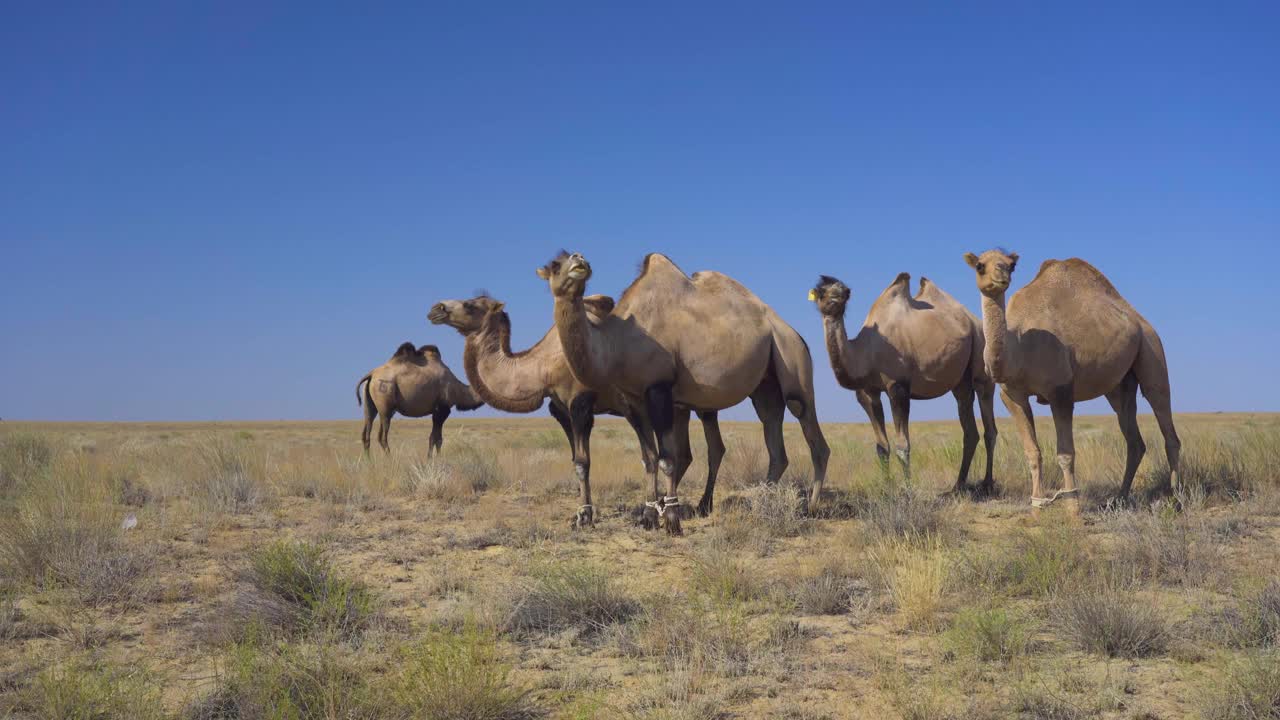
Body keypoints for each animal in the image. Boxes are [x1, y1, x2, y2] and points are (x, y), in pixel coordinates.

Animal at [355, 340, 483, 453]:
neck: (457, 389)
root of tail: (371, 374)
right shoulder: (442, 409)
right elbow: (436, 439)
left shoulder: (438, 411)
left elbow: (436, 438)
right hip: (385, 404)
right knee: (382, 436)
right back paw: (390, 460)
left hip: (370, 404)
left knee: (366, 431)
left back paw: (369, 462)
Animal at [430, 293, 727, 527]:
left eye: (470, 305)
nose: (436, 308)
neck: (544, 365)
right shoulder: (560, 409)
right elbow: (575, 458)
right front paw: (581, 512)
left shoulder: (580, 403)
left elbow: (583, 462)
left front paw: (584, 516)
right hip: (678, 406)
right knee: (686, 452)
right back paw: (670, 504)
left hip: (699, 399)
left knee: (712, 447)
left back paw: (700, 506)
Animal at [537, 249, 829, 530]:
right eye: (554, 265)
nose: (579, 261)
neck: (619, 342)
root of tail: (793, 332)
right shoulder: (634, 400)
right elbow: (649, 458)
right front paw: (648, 517)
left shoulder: (659, 389)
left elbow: (668, 458)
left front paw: (671, 521)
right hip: (766, 384)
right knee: (773, 436)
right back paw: (760, 504)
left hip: (792, 360)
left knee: (811, 430)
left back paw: (811, 508)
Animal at [808, 271, 998, 489]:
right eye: (821, 292)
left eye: (844, 292)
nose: (832, 300)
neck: (867, 351)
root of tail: (975, 322)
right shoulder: (868, 392)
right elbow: (882, 447)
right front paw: (886, 486)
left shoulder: (898, 387)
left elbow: (902, 445)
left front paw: (908, 488)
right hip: (961, 380)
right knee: (969, 428)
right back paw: (958, 485)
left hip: (982, 360)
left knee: (989, 426)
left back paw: (987, 484)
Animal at [962, 249, 1177, 512]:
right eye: (980, 266)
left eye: (1011, 265)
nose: (1001, 274)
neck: (1020, 346)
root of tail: (1140, 320)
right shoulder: (1012, 395)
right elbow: (1032, 452)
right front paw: (1036, 505)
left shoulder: (1060, 391)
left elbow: (1065, 453)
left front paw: (1073, 507)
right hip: (1120, 384)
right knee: (1134, 439)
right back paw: (1120, 498)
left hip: (1151, 348)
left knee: (1164, 416)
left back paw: (1175, 498)